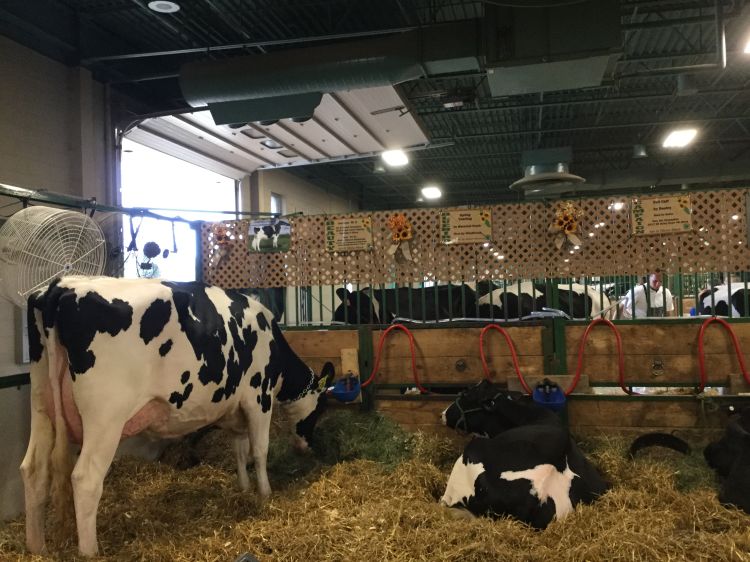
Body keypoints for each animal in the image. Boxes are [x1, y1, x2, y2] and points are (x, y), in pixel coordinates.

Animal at [21, 276, 334, 556]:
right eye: (320, 408)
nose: (307, 447)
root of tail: (63, 285)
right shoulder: (259, 398)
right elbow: (259, 450)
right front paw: (265, 493)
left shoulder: (235, 408)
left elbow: (239, 449)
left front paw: (244, 488)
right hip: (105, 418)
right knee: (85, 479)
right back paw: (90, 552)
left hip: (41, 404)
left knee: (34, 469)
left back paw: (37, 547)